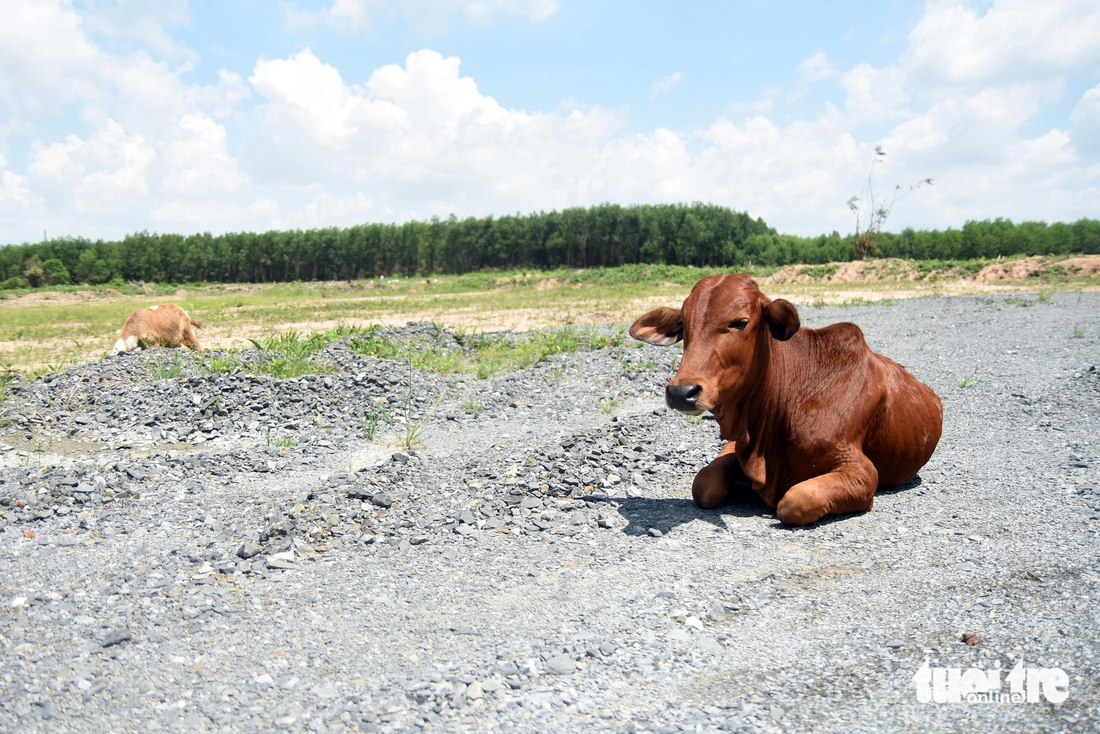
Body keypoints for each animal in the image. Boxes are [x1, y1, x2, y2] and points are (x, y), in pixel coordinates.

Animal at [633, 272, 941, 526]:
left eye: (740, 322)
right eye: (683, 325)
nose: (681, 392)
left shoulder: (861, 471)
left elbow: (795, 501)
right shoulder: (739, 445)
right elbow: (703, 485)